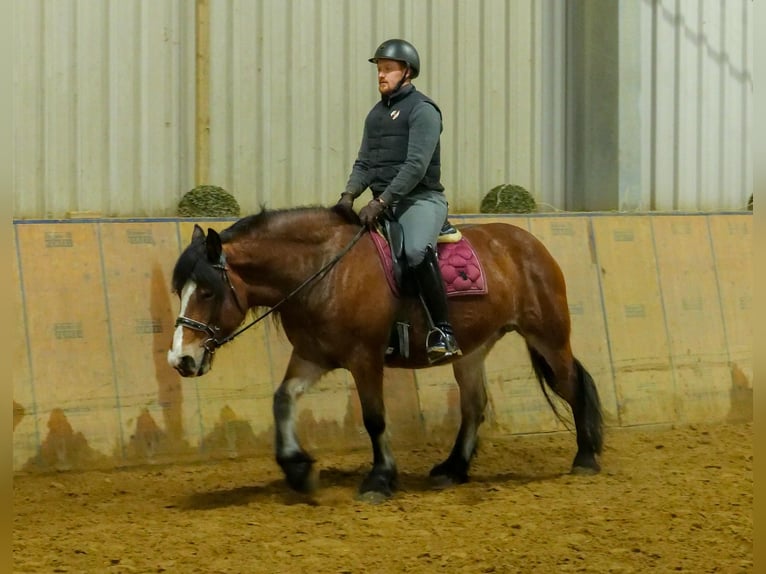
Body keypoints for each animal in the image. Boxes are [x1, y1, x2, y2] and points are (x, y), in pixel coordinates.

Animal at [168, 206, 608, 500]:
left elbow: (374, 419)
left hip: (548, 336)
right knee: (474, 406)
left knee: (572, 386)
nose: (181, 360)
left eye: (207, 291)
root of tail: (527, 243)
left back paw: (585, 460)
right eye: (181, 290)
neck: (323, 271)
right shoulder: (313, 356)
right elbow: (282, 399)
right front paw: (298, 468)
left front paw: (380, 478)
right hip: (471, 351)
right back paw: (453, 469)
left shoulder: (364, 358)